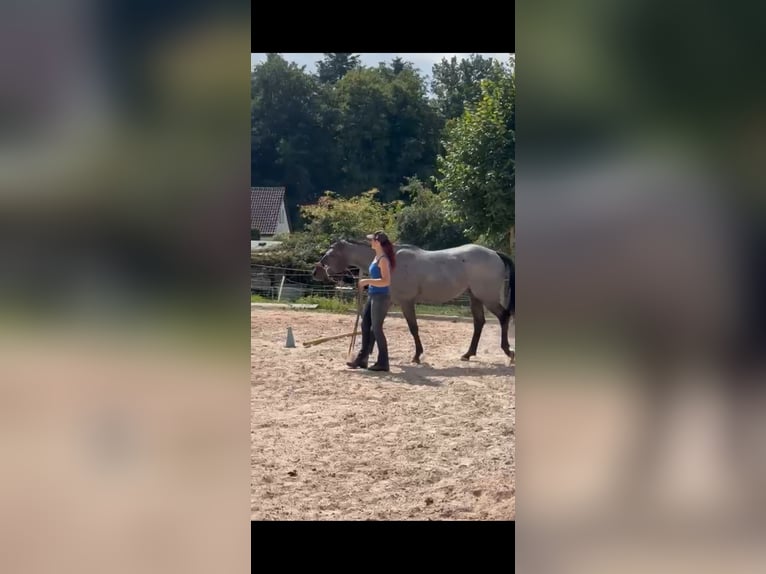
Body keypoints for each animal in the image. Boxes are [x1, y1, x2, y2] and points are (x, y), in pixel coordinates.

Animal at [312, 239, 515, 364]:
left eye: (330, 254)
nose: (316, 272)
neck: (390, 262)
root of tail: (495, 254)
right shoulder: (387, 302)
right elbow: (374, 326)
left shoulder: (406, 302)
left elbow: (413, 328)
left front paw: (417, 356)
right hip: (476, 297)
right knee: (479, 322)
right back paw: (468, 354)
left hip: (487, 297)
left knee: (504, 316)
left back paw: (508, 352)